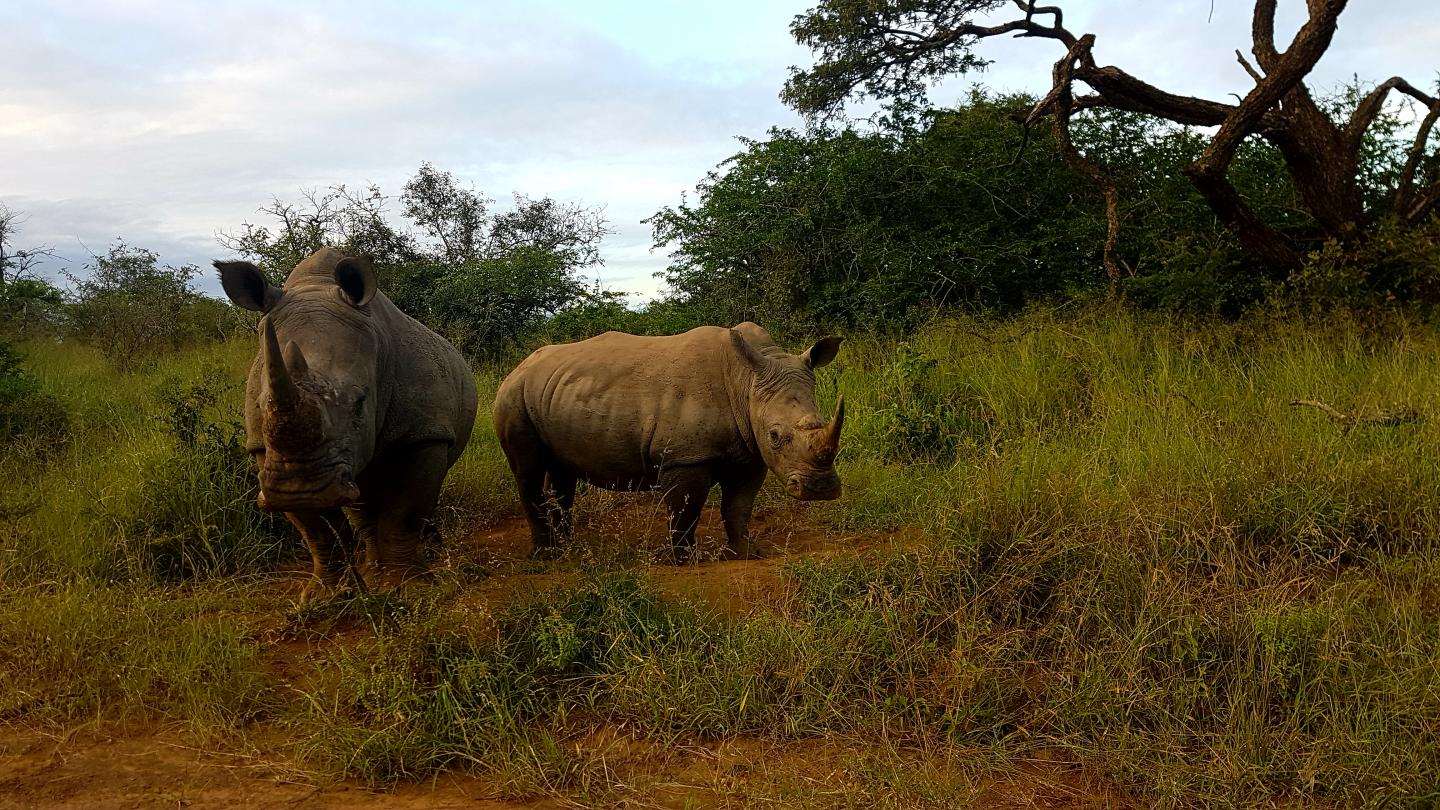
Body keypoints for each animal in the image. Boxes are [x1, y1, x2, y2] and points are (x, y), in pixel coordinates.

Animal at [214, 248, 478, 599]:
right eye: (260, 404)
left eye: (359, 402)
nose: (302, 487)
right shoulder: (263, 449)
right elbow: (317, 530)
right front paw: (325, 595)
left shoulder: (423, 433)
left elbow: (404, 513)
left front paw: (411, 589)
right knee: (360, 496)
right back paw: (372, 571)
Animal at [494, 322, 844, 562]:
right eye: (775, 435)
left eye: (821, 420)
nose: (820, 489)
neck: (745, 382)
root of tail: (519, 366)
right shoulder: (685, 456)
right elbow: (685, 510)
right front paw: (683, 560)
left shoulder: (751, 452)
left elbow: (738, 507)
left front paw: (745, 553)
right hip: (513, 396)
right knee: (528, 472)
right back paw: (546, 555)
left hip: (553, 393)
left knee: (562, 472)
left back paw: (569, 548)